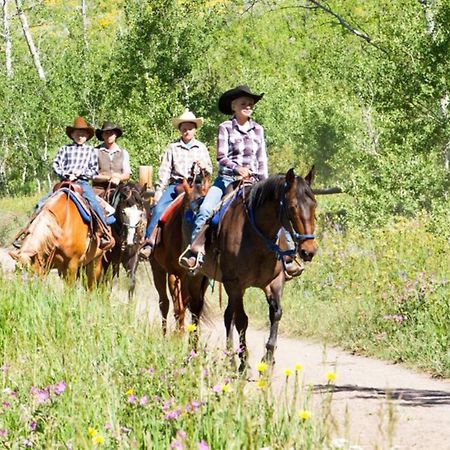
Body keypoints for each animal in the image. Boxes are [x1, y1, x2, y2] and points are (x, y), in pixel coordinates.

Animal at [149, 169, 210, 334]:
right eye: (188, 218)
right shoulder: (174, 274)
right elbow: (178, 308)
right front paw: (177, 337)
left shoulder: (200, 279)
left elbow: (194, 310)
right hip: (158, 269)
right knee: (164, 303)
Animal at [186, 167, 316, 370]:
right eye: (292, 207)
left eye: (314, 205)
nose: (309, 251)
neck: (257, 237)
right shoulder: (235, 284)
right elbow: (242, 320)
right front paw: (244, 362)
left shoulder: (274, 282)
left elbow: (276, 313)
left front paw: (268, 360)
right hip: (198, 278)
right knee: (196, 311)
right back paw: (193, 354)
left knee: (226, 316)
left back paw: (230, 359)